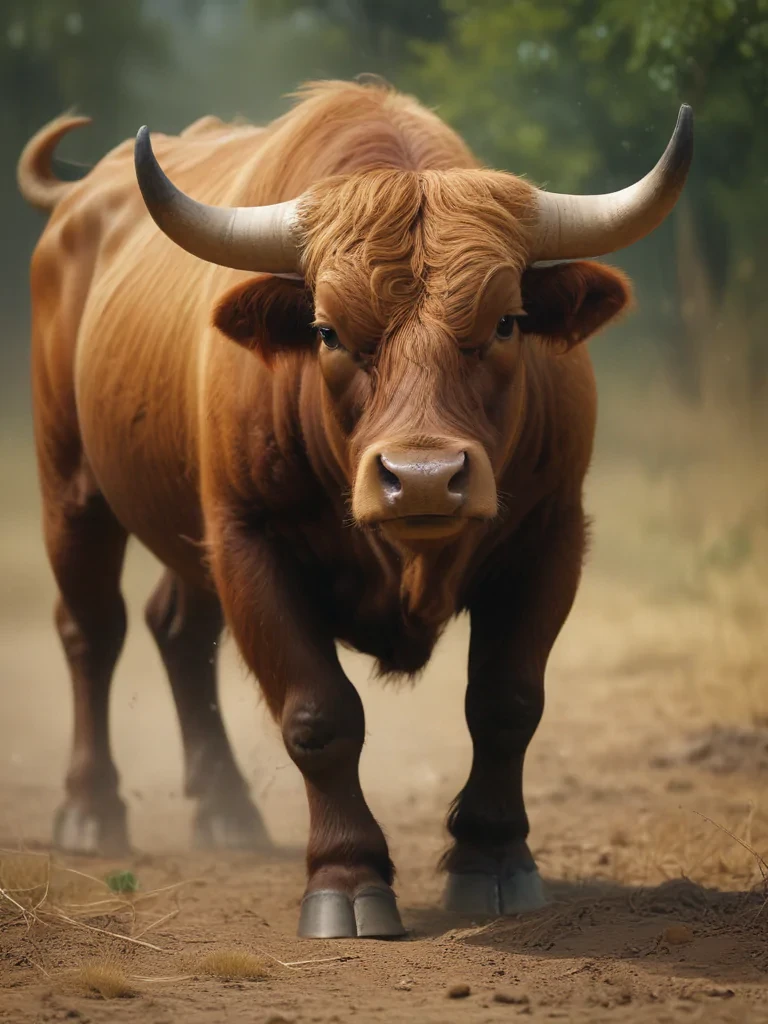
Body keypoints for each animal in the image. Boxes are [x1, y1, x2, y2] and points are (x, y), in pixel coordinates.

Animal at [18, 79, 692, 938]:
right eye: (329, 331)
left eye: (506, 322)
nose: (425, 477)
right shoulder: (248, 538)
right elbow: (319, 715)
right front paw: (347, 877)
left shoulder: (551, 535)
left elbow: (506, 702)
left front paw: (494, 860)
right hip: (70, 482)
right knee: (92, 629)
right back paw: (91, 809)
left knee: (179, 628)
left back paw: (227, 809)